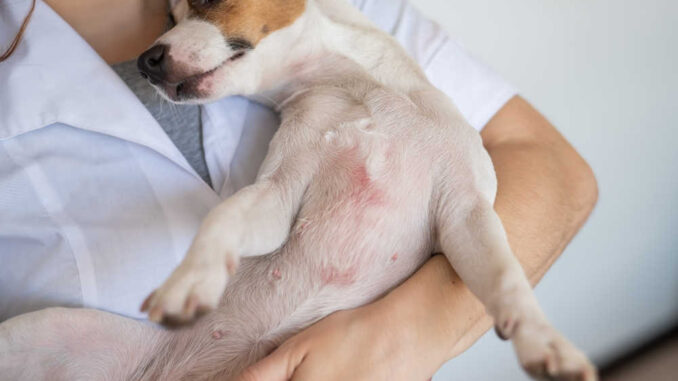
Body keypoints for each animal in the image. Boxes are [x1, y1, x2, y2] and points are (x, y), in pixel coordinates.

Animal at [0, 0, 596, 380]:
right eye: (167, 19)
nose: (146, 61)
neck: (358, 89)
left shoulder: (467, 215)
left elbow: (506, 281)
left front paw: (544, 342)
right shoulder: (278, 197)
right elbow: (223, 219)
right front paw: (193, 277)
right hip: (40, 332)